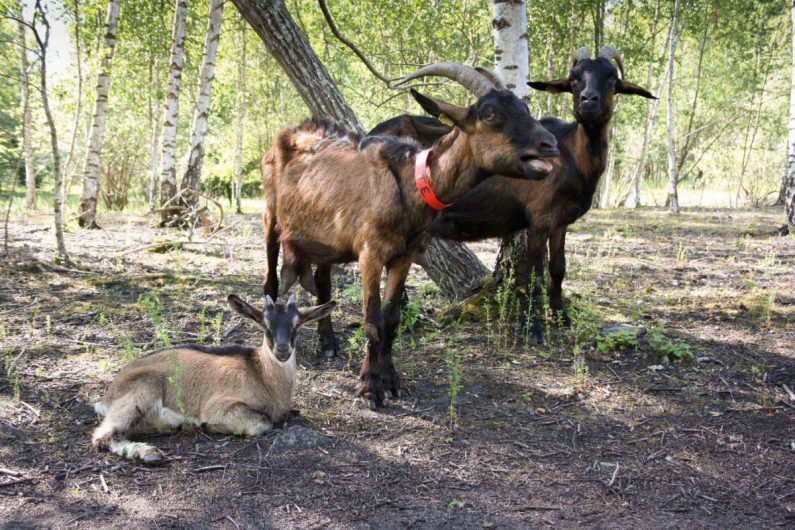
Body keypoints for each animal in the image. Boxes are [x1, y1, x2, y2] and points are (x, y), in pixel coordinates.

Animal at [92, 292, 336, 462]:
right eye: (265, 326)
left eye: (297, 325)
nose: (282, 350)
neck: (260, 373)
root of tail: (108, 395)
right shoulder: (220, 405)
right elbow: (262, 423)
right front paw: (208, 426)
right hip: (144, 388)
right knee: (102, 435)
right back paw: (148, 453)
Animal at [264, 64, 556, 406]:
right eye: (491, 114)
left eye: (525, 108)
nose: (550, 144)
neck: (408, 184)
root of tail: (290, 131)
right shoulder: (371, 254)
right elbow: (373, 321)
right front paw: (370, 388)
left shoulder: (404, 255)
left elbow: (392, 319)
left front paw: (391, 380)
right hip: (271, 219)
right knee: (270, 281)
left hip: (326, 241)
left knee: (323, 284)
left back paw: (329, 344)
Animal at [366, 47, 652, 340]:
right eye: (573, 80)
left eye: (612, 79)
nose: (589, 101)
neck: (571, 156)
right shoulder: (539, 219)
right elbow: (532, 273)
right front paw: (532, 327)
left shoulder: (560, 222)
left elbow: (558, 267)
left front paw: (561, 316)